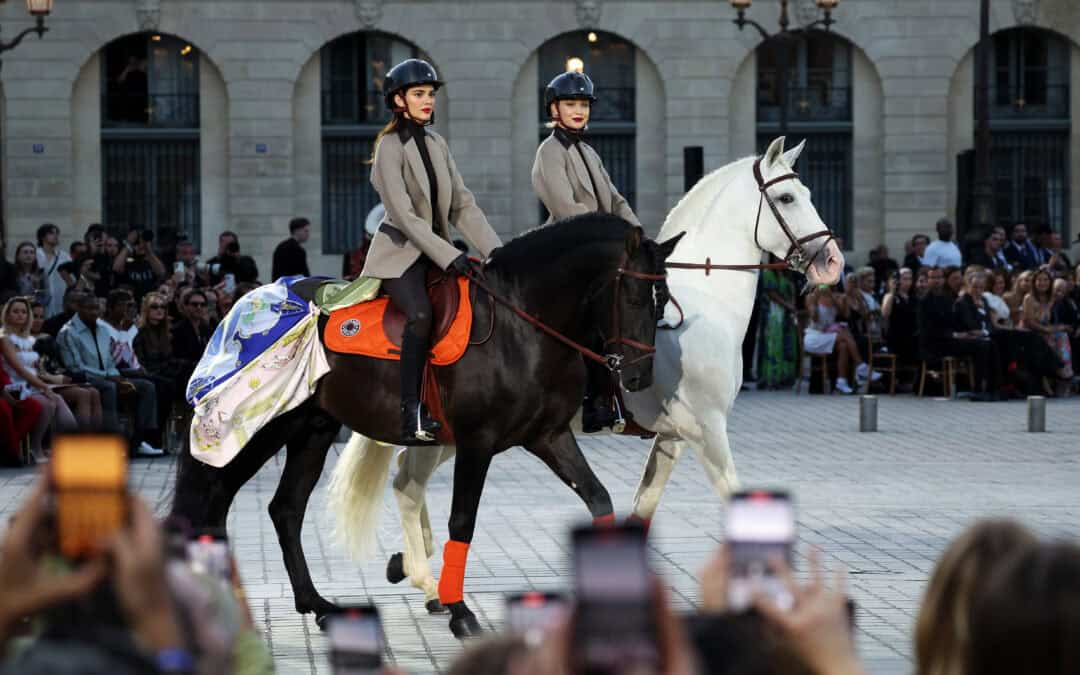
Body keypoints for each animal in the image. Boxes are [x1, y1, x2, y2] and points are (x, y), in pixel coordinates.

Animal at [172, 215, 683, 637]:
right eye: (633, 296)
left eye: (662, 305)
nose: (638, 377)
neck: (521, 327)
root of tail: (249, 302)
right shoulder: (477, 442)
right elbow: (463, 520)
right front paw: (459, 611)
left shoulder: (549, 437)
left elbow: (598, 499)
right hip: (261, 429)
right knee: (216, 500)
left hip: (313, 430)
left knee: (285, 510)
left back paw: (317, 604)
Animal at [328, 136, 845, 610]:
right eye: (787, 198)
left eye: (808, 193)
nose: (832, 262)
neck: (705, 305)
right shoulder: (706, 430)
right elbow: (734, 495)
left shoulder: (674, 436)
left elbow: (642, 507)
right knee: (407, 483)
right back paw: (427, 579)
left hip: (451, 435)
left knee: (406, 481)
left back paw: (418, 573)